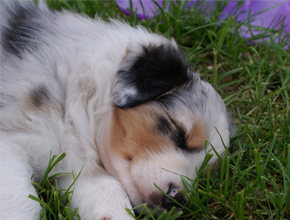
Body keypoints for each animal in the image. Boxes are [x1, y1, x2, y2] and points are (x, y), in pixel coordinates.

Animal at [0, 0, 232, 220]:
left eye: (204, 172)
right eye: (180, 133)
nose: (177, 200)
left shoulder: (80, 169)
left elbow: (110, 195)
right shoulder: (10, 140)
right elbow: (20, 203)